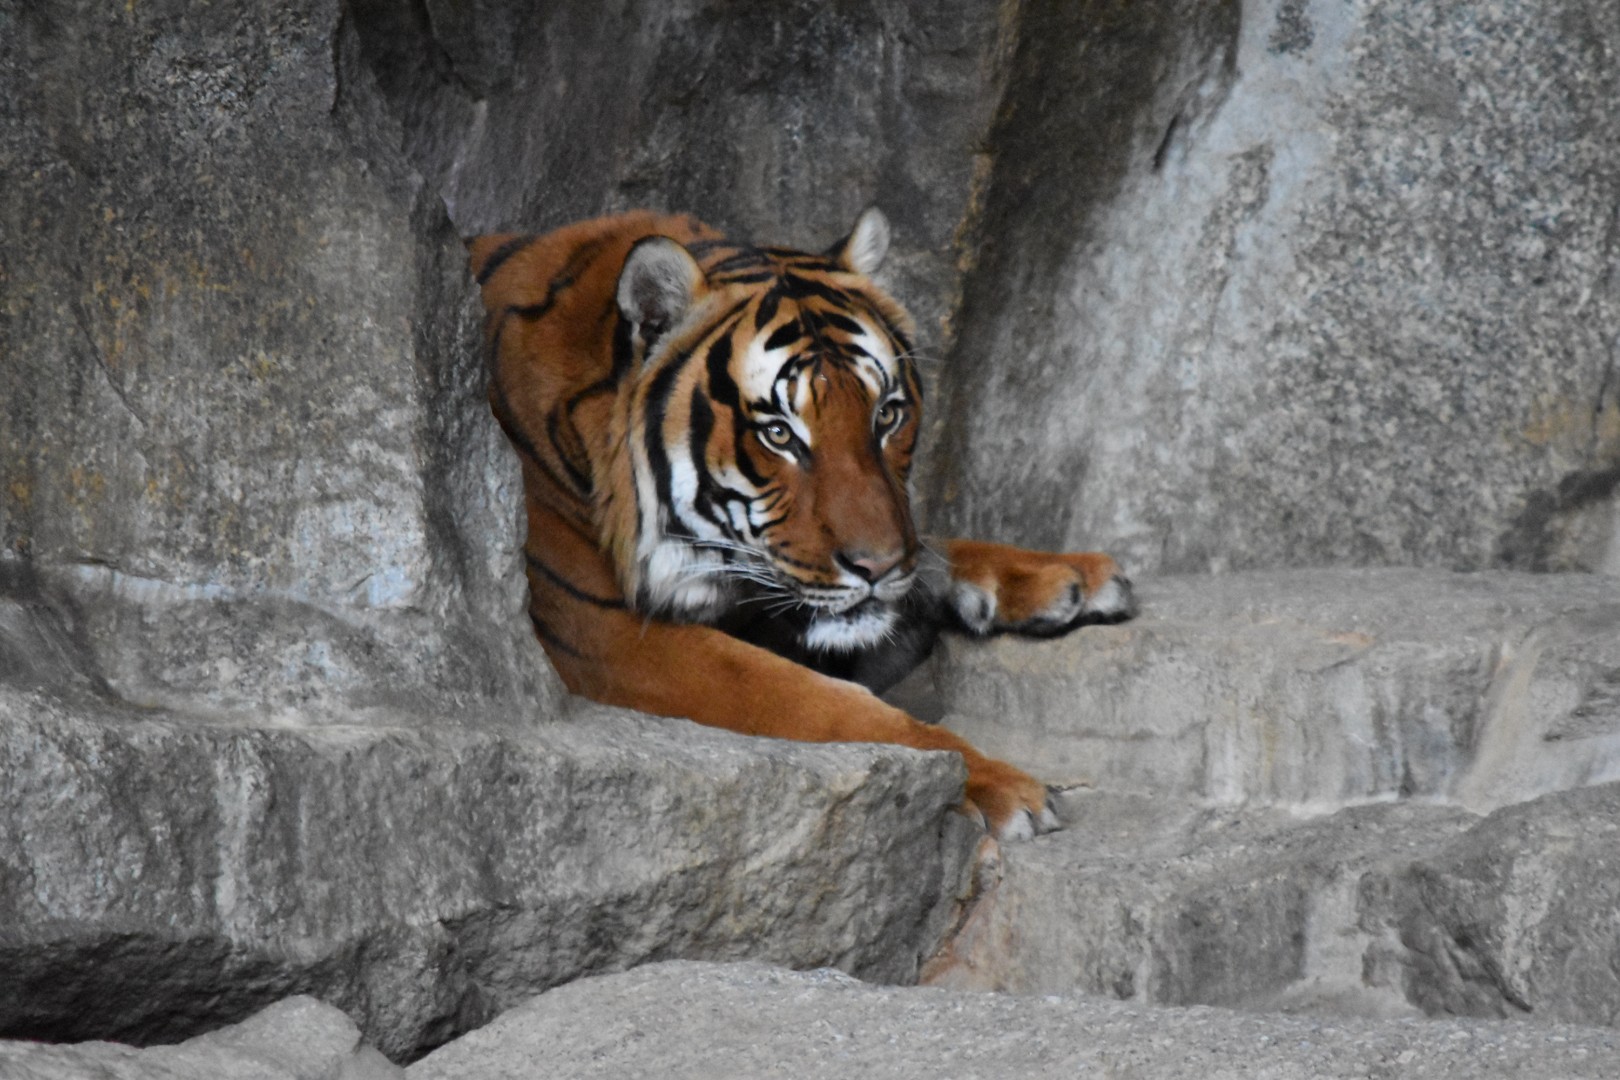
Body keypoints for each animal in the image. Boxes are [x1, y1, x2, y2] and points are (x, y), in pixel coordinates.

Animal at [467, 208, 1135, 840]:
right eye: (779, 434)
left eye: (887, 415)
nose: (877, 568)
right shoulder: (605, 632)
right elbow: (823, 704)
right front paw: (1003, 785)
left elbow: (933, 548)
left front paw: (1072, 576)